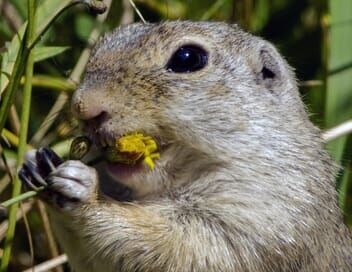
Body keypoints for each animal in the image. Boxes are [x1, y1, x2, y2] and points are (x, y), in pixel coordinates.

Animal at [19, 22, 352, 270]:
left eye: (187, 58)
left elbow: (182, 248)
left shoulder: (267, 214)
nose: (83, 106)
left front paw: (86, 191)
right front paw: (37, 162)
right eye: (104, 43)